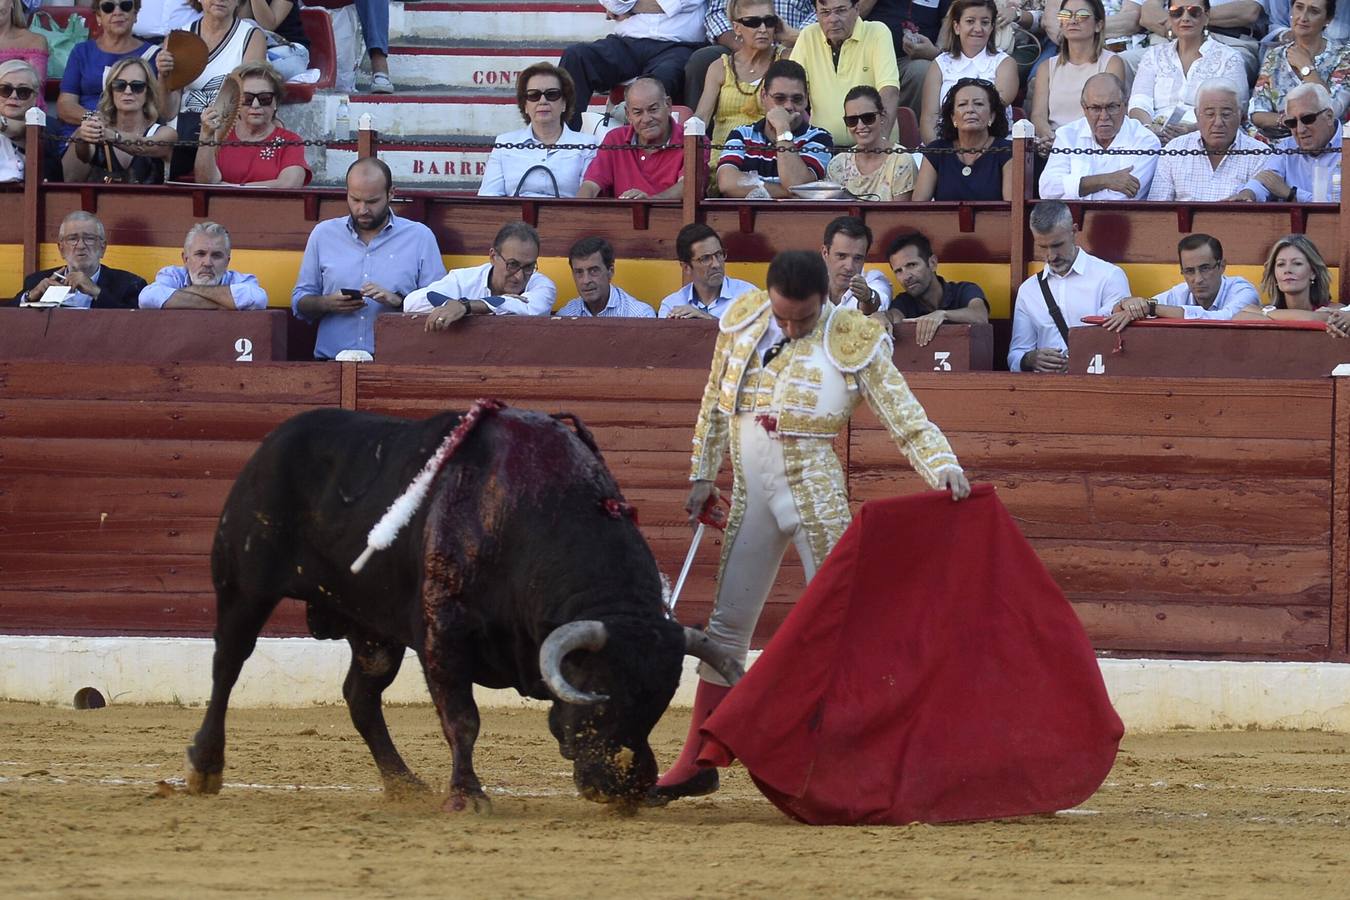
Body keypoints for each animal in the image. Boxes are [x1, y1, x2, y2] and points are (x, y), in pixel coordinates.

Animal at [182, 404, 739, 814]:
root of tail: (275, 439)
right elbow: (463, 719)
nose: (625, 784)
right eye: (600, 693)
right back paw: (204, 766)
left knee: (361, 695)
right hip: (245, 589)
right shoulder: (443, 638)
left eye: (659, 703)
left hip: (372, 631)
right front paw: (468, 797)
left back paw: (403, 783)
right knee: (227, 666)